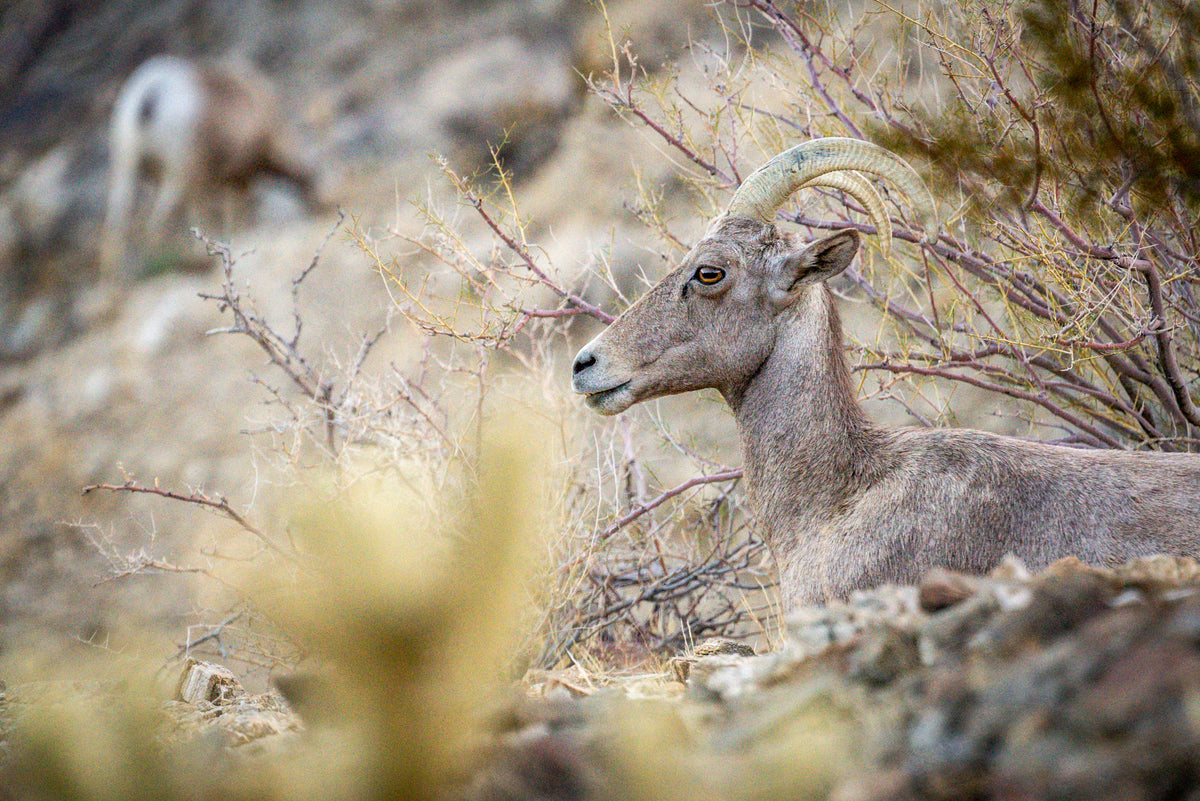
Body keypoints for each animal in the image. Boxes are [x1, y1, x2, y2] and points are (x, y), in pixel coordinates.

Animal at [100, 55, 321, 272]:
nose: (317, 205)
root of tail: (150, 96)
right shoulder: (234, 180)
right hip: (177, 176)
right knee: (156, 223)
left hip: (126, 165)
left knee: (116, 225)